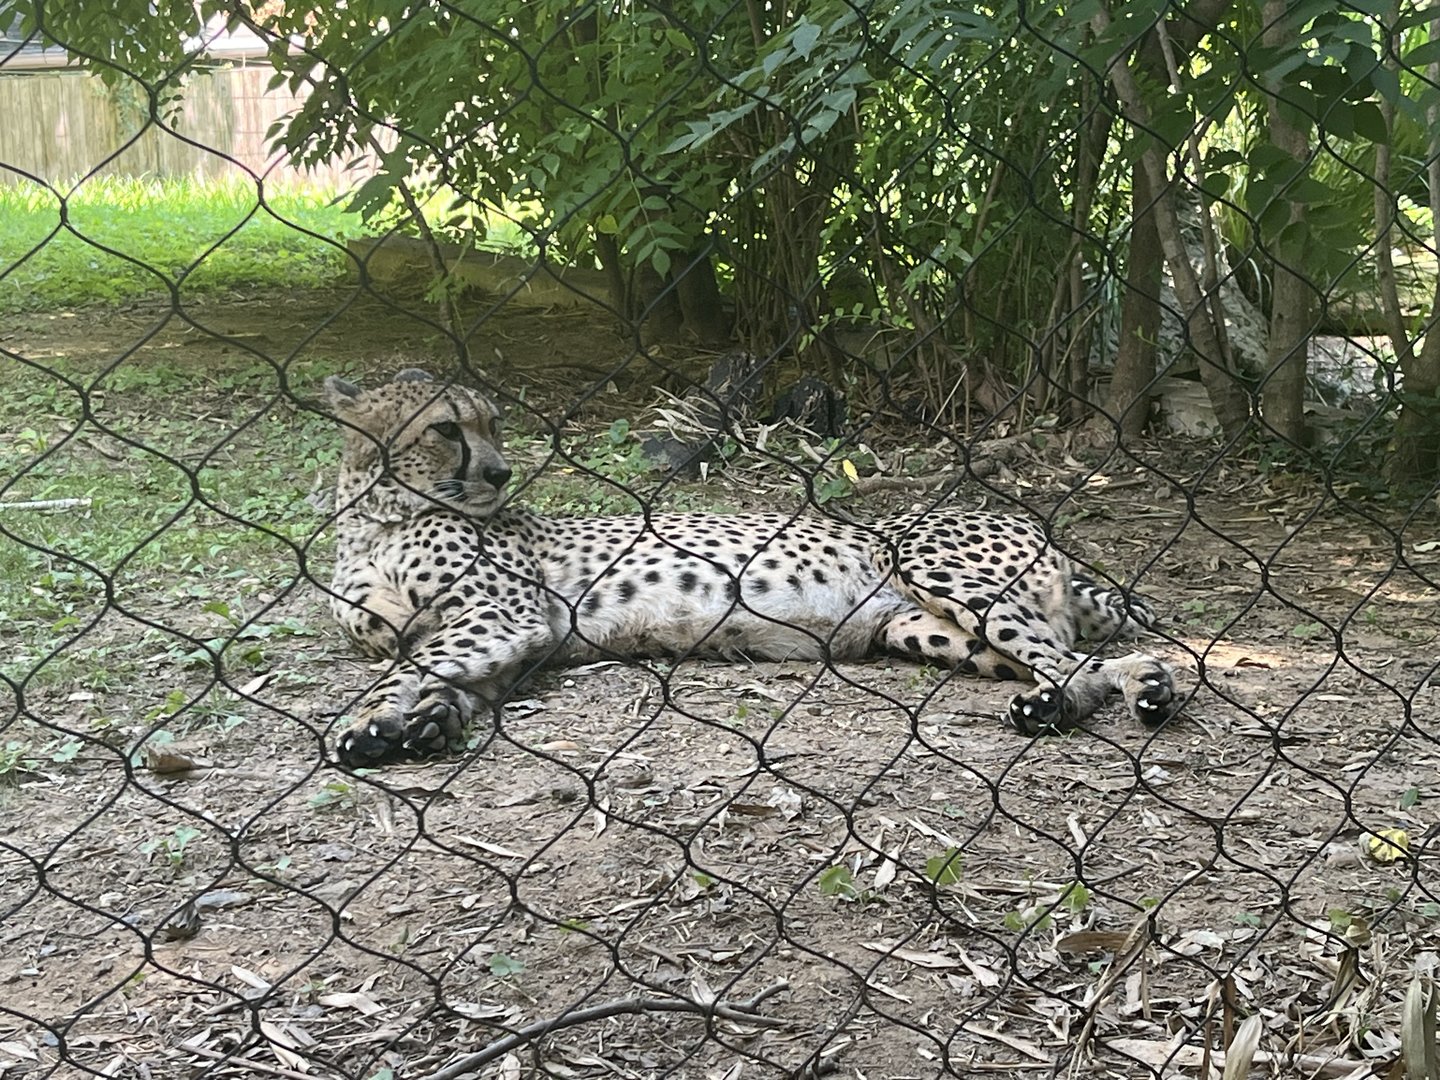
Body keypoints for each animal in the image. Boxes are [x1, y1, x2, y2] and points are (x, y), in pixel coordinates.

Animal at [322, 369, 1181, 767]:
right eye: (446, 428)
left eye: (494, 424)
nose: (501, 473)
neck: (376, 514)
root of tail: (1023, 518)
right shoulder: (515, 640)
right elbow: (442, 674)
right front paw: (424, 722)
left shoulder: (506, 614)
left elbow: (404, 666)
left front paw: (361, 721)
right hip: (918, 626)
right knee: (1084, 662)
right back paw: (1127, 689)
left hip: (935, 565)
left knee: (1068, 663)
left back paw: (1096, 699)